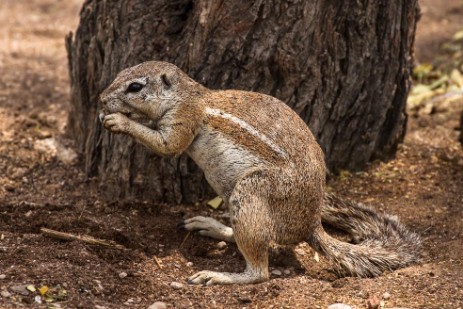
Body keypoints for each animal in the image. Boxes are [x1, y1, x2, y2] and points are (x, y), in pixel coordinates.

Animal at [99, 61, 422, 286]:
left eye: (135, 87)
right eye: (120, 72)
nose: (101, 99)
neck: (186, 95)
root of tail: (311, 225)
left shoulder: (184, 119)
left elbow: (167, 145)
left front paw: (119, 120)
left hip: (253, 190)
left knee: (260, 271)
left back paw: (219, 276)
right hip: (235, 196)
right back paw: (213, 227)